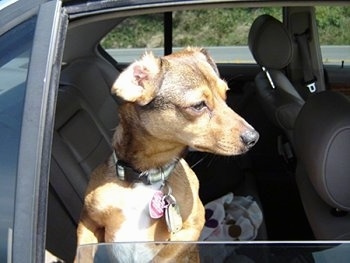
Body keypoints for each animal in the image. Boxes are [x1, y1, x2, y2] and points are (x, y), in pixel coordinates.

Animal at [75, 48, 258, 263]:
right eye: (198, 105)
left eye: (225, 94)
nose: (254, 137)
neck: (144, 177)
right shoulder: (88, 222)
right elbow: (82, 255)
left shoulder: (191, 229)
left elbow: (162, 257)